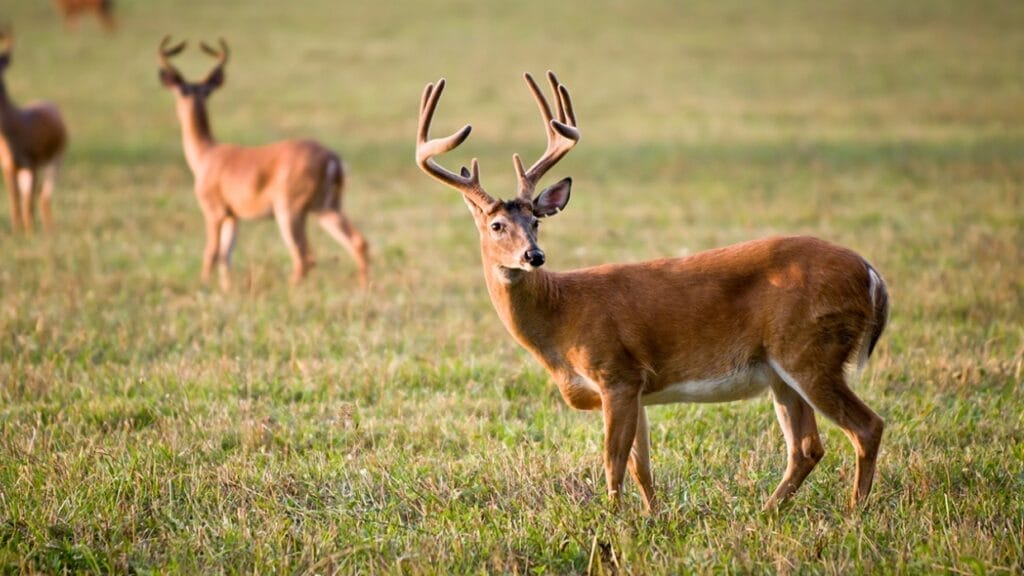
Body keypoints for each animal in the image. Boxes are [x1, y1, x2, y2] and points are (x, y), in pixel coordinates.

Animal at [0, 26, 67, 233]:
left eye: (1, 65)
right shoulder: (8, 167)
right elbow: (15, 200)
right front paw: (17, 231)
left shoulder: (33, 163)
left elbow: (28, 202)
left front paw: (29, 233)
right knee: (34, 197)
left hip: (54, 160)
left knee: (43, 197)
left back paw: (48, 230)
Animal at [157, 36, 370, 286]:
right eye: (185, 91)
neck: (205, 154)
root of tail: (333, 159)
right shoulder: (233, 215)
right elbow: (226, 256)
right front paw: (226, 289)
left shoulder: (214, 209)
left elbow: (211, 252)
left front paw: (205, 286)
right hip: (326, 207)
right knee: (358, 241)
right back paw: (364, 286)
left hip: (289, 207)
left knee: (304, 256)